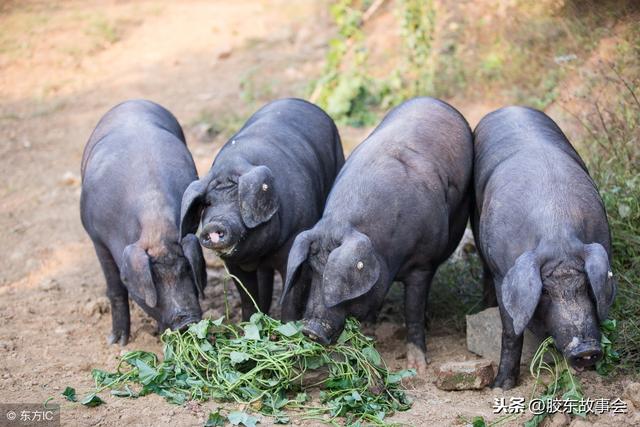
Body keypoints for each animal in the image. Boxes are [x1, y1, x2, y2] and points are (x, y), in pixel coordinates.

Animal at [79, 99, 205, 344]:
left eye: (187, 269)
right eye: (154, 280)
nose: (187, 322)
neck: (156, 227)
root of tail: (132, 101)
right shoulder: (97, 239)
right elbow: (116, 288)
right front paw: (117, 342)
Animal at [472, 107, 616, 392]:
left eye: (586, 286)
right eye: (546, 292)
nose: (586, 350)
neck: (556, 232)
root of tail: (509, 106)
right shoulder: (503, 275)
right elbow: (511, 330)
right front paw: (501, 387)